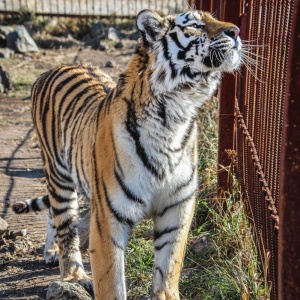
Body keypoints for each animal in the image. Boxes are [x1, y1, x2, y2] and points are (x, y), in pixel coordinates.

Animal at [12, 9, 241, 300]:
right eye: (195, 26)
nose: (236, 31)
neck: (175, 114)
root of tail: (54, 68)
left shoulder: (176, 210)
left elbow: (168, 270)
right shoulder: (108, 220)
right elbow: (111, 283)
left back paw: (52, 252)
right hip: (58, 173)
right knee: (64, 222)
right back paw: (73, 275)